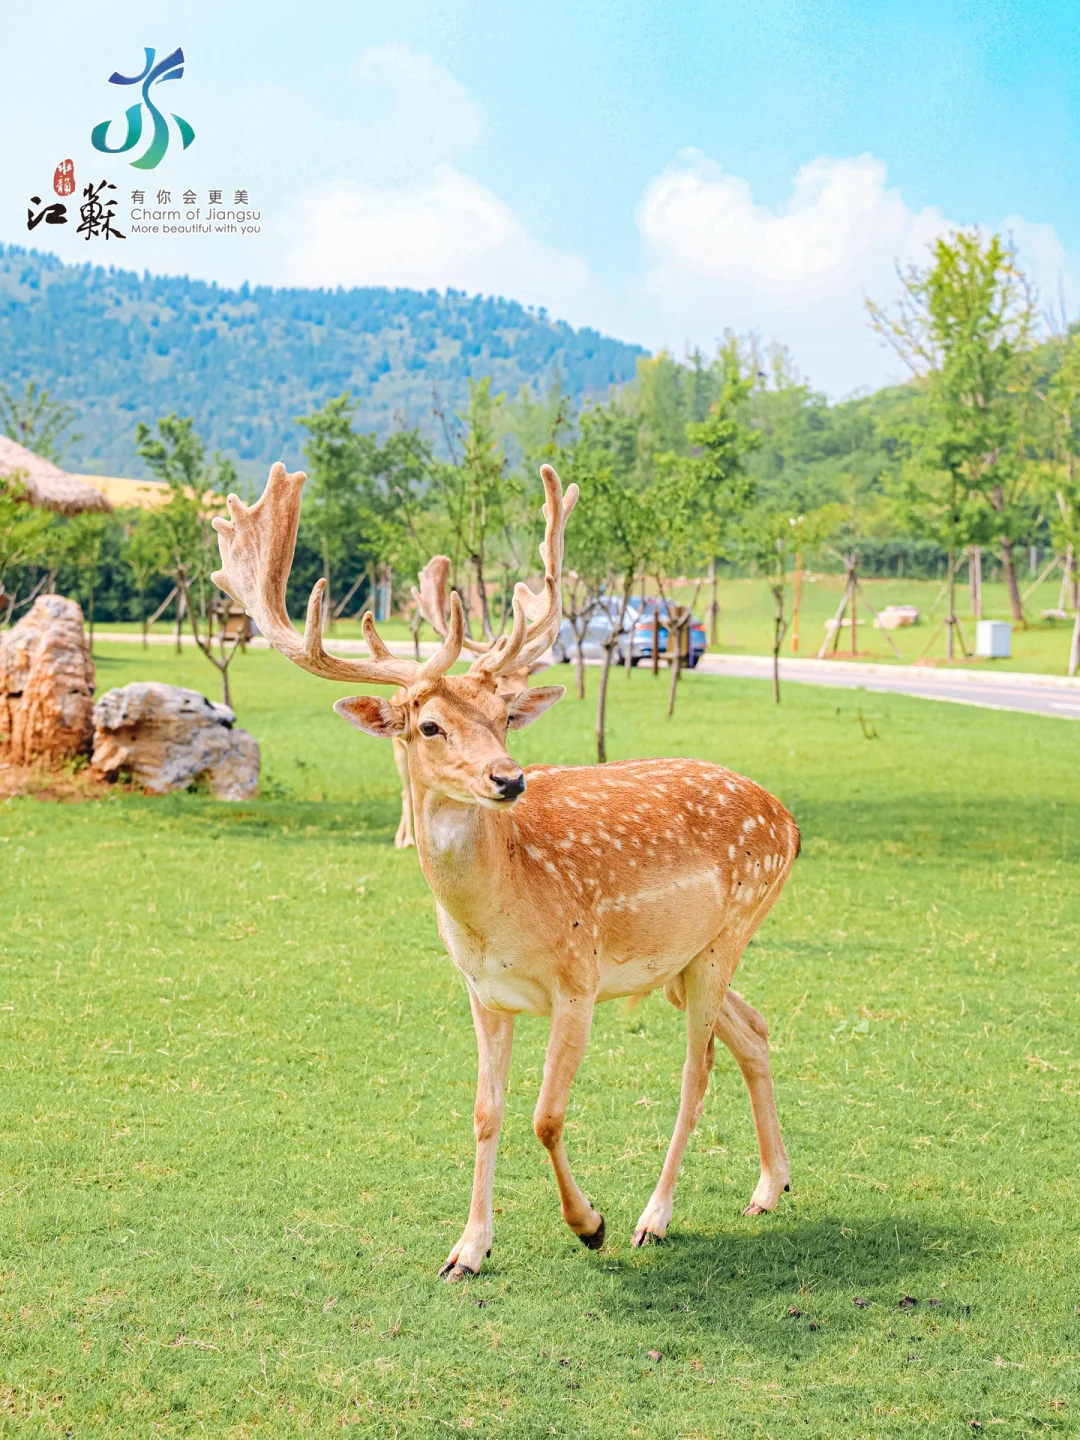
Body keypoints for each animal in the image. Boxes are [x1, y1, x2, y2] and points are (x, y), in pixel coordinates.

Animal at [212, 460, 799, 1281]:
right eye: (429, 725)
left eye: (502, 715)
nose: (509, 778)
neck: (499, 917)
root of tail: (788, 819)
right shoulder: (482, 993)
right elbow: (485, 1112)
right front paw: (466, 1250)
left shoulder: (579, 980)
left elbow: (546, 1116)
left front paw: (589, 1225)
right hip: (679, 962)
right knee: (753, 1028)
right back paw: (770, 1187)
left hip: (729, 932)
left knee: (698, 1067)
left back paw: (653, 1217)